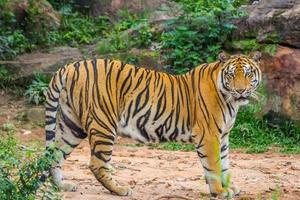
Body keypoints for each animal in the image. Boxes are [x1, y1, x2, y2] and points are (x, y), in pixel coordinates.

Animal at [44, 51, 262, 198]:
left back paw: (62, 186)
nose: (241, 91)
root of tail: (70, 66)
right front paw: (219, 191)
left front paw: (228, 188)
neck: (230, 101)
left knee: (54, 154)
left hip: (72, 126)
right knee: (97, 164)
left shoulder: (222, 136)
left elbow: (224, 163)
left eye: (248, 74)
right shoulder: (209, 136)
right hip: (103, 124)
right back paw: (121, 189)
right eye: (231, 75)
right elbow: (214, 165)